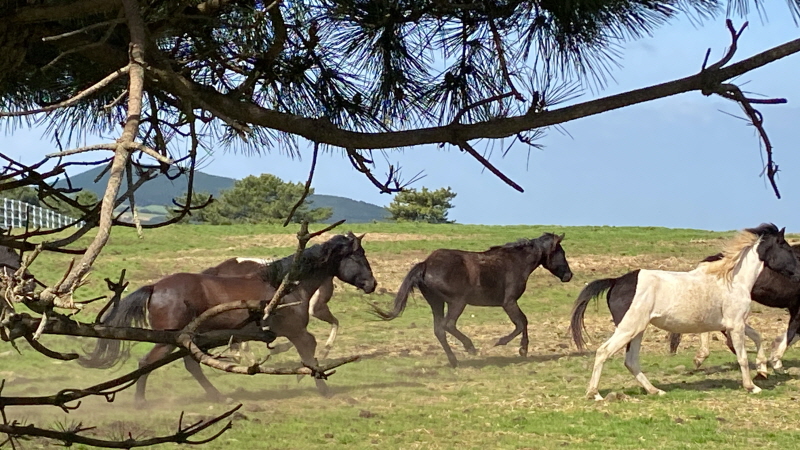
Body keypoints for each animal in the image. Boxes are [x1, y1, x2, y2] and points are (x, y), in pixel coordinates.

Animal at [372, 234, 572, 368]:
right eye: (561, 252)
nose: (569, 275)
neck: (516, 262)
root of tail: (426, 264)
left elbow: (522, 322)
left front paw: (521, 348)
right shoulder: (509, 302)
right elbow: (522, 322)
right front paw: (514, 346)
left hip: (437, 303)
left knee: (439, 330)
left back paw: (454, 361)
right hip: (457, 302)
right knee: (448, 325)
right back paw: (470, 347)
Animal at [568, 223, 800, 400]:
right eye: (788, 249)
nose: (799, 273)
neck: (732, 279)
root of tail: (616, 281)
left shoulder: (733, 324)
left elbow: (758, 337)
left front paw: (763, 370)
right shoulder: (735, 324)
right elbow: (743, 356)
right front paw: (752, 386)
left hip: (638, 330)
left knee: (631, 361)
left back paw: (655, 391)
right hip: (628, 328)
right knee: (603, 351)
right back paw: (594, 394)